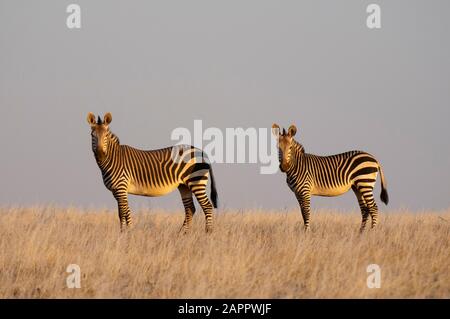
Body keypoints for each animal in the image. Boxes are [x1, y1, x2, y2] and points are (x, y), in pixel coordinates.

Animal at [86, 114, 218, 234]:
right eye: (92, 135)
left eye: (106, 136)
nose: (100, 155)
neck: (114, 158)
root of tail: (202, 152)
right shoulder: (116, 191)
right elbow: (123, 212)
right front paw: (126, 233)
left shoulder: (121, 187)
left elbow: (123, 212)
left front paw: (126, 234)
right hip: (184, 185)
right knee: (190, 208)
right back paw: (182, 234)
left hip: (196, 181)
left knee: (207, 206)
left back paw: (208, 233)